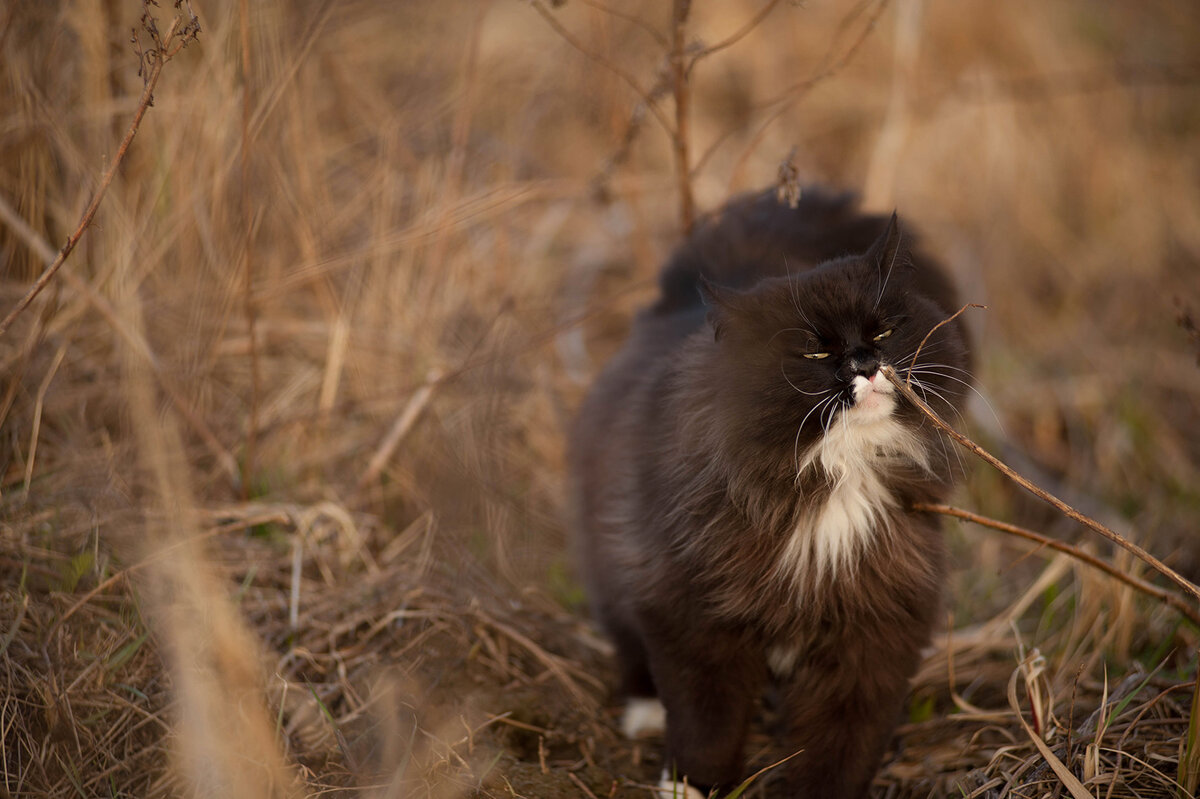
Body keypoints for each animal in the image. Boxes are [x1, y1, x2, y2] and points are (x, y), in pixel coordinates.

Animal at [566, 188, 969, 796]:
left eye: (882, 332)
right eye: (813, 353)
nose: (867, 364)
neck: (837, 475)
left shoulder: (875, 631)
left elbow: (841, 744)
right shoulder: (692, 615)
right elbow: (705, 723)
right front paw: (690, 785)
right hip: (614, 560)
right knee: (629, 643)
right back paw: (643, 712)